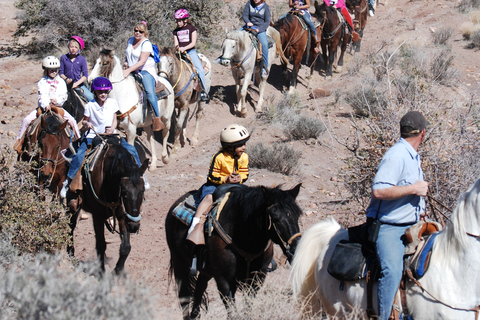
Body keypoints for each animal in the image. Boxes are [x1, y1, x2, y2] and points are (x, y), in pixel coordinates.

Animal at [67, 137, 149, 272]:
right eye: (124, 191)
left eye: (142, 190)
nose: (134, 226)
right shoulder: (97, 216)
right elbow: (100, 245)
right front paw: (101, 272)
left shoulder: (122, 215)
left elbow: (125, 247)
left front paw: (117, 270)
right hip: (73, 205)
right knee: (71, 226)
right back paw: (71, 255)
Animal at [167, 184, 304, 318]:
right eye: (275, 218)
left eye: (297, 215)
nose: (295, 249)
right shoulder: (224, 281)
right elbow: (233, 313)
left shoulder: (256, 280)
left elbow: (247, 309)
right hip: (179, 263)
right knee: (184, 296)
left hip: (206, 270)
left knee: (199, 288)